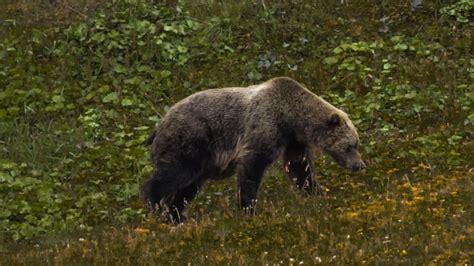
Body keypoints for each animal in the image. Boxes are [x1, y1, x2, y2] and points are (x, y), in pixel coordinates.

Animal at [139, 76, 364, 222]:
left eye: (356, 144)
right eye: (350, 145)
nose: (360, 165)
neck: (290, 117)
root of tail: (159, 125)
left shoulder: (292, 140)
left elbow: (300, 169)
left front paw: (317, 194)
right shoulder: (265, 126)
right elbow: (252, 167)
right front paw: (250, 209)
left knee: (188, 187)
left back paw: (177, 217)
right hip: (189, 141)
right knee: (174, 173)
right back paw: (154, 204)